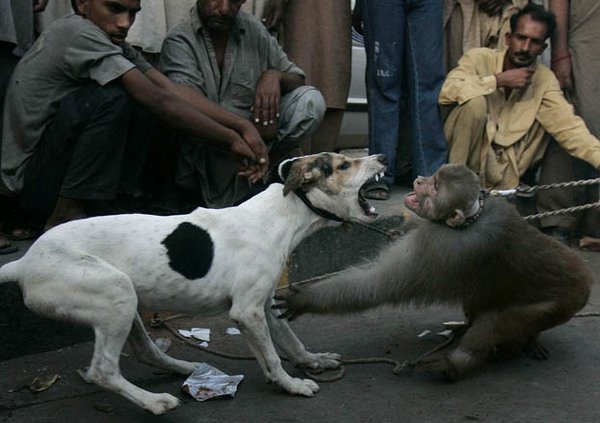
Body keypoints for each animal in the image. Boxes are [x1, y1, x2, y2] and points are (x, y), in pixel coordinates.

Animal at [0, 152, 384, 414]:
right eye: (344, 165)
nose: (380, 156)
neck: (284, 213)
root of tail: (24, 262)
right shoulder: (246, 312)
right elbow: (273, 358)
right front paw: (290, 384)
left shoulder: (262, 305)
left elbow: (290, 341)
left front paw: (313, 361)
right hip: (115, 293)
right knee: (102, 371)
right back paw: (153, 402)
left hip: (125, 300)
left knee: (145, 350)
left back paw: (187, 368)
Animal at [274, 165, 592, 380]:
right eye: (432, 176)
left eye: (436, 187)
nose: (418, 180)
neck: (469, 220)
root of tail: (586, 278)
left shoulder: (441, 245)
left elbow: (380, 284)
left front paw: (306, 299)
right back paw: (521, 340)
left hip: (561, 303)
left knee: (498, 321)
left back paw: (456, 363)